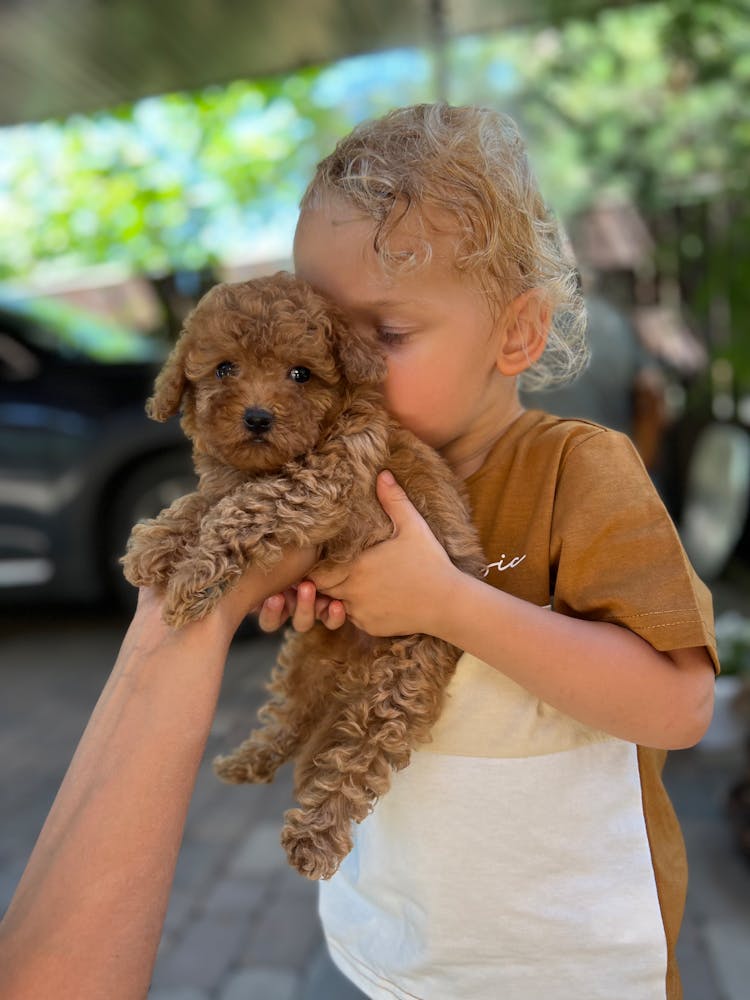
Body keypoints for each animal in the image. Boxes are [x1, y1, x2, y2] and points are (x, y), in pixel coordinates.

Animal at [122, 270, 488, 880]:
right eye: (225, 368)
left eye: (301, 374)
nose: (257, 417)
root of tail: (353, 669)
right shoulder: (240, 476)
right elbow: (208, 498)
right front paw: (158, 544)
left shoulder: (317, 486)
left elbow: (239, 509)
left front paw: (192, 578)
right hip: (308, 660)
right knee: (291, 720)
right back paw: (247, 761)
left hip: (402, 675)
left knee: (357, 759)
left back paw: (313, 838)